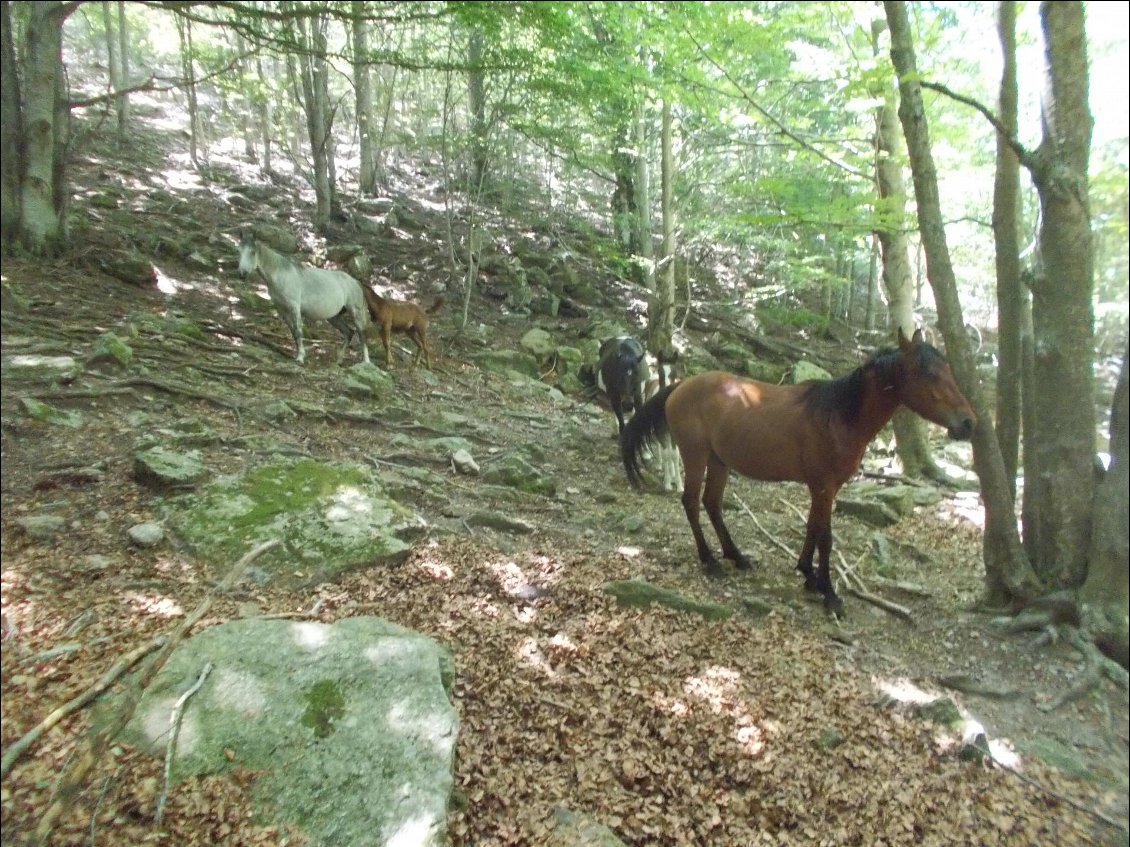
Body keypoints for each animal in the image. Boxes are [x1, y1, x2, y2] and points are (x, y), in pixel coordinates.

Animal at [237, 230, 370, 365]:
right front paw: (298, 354)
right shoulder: (283, 310)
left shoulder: (294, 307)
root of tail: (355, 281)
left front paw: (300, 357)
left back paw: (366, 362)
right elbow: (293, 332)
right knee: (349, 333)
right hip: (334, 317)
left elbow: (298, 331)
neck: (281, 275)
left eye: (252, 252)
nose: (242, 274)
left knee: (362, 335)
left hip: (355, 312)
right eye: (239, 251)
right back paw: (339, 360)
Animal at [623, 327, 976, 614]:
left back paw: (736, 556)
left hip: (719, 460)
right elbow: (826, 537)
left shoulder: (825, 487)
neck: (838, 417)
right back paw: (709, 560)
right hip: (696, 456)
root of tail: (680, 386)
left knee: (712, 503)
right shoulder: (823, 485)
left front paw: (808, 575)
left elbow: (812, 527)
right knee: (692, 502)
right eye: (928, 373)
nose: (968, 422)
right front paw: (829, 592)